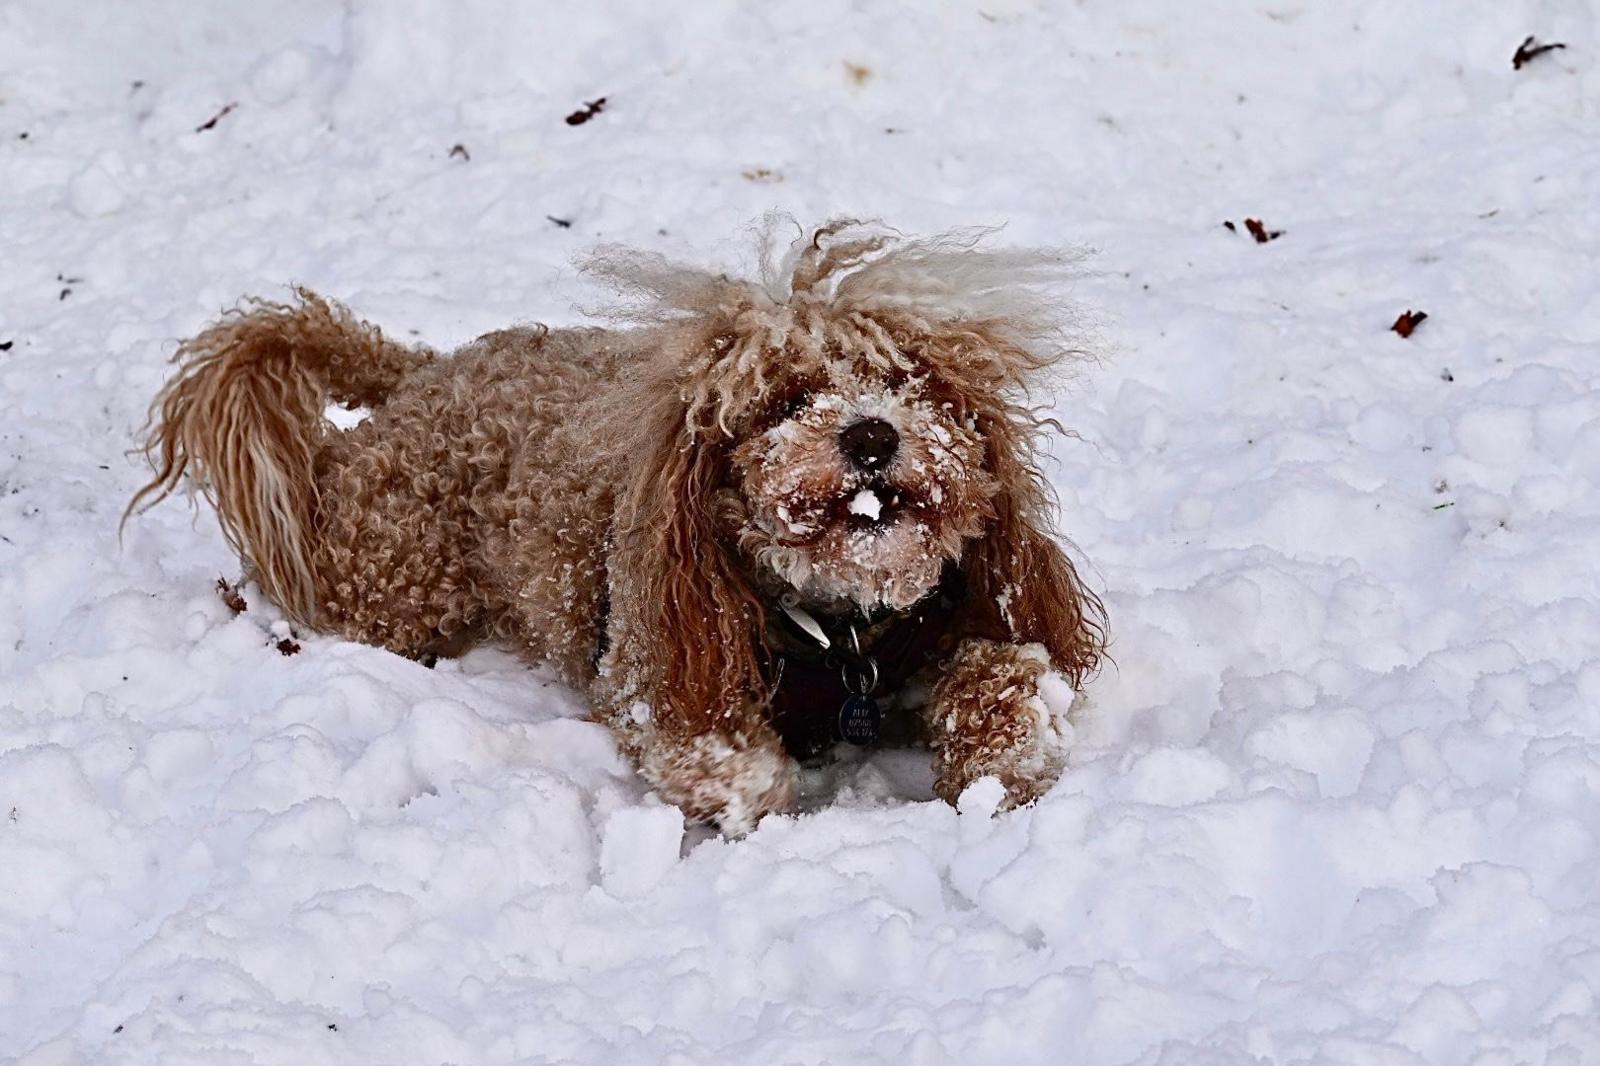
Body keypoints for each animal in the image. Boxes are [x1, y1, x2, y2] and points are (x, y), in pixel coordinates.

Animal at [131, 217, 1107, 832]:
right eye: (786, 401)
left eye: (916, 384)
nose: (871, 435)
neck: (840, 634)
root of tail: (428, 371)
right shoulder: (656, 670)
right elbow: (730, 762)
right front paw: (754, 794)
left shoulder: (964, 613)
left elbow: (1009, 674)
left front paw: (999, 759)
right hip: (395, 574)